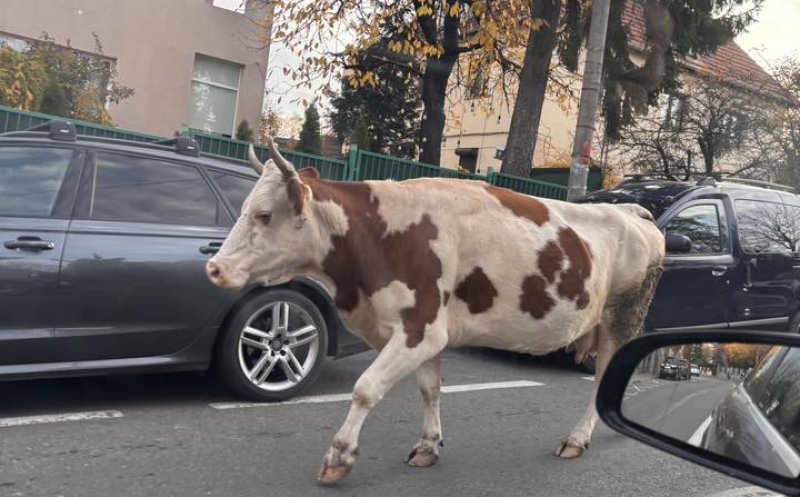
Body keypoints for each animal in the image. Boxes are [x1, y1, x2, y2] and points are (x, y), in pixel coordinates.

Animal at [206, 138, 666, 485]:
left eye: (264, 214)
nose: (214, 268)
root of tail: (631, 210)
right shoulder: (424, 330)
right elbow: (429, 389)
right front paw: (428, 446)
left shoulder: (420, 327)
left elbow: (366, 387)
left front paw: (339, 457)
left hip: (621, 320)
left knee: (603, 380)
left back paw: (576, 439)